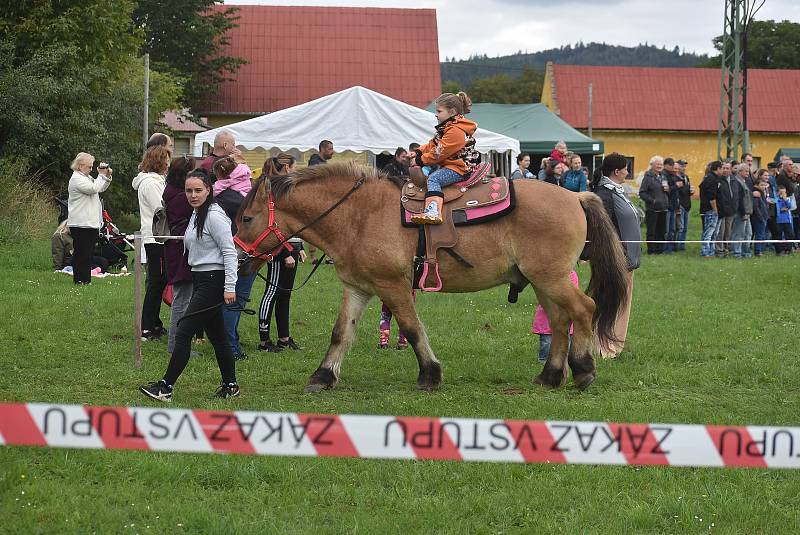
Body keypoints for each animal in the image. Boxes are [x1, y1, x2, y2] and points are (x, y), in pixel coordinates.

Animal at [234, 160, 628, 394]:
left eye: (247, 218)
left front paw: (429, 374)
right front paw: (323, 375)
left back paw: (583, 369)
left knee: (584, 309)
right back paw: (550, 375)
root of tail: (576, 196)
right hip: (544, 281)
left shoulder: (392, 286)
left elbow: (412, 329)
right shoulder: (358, 288)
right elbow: (341, 333)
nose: (237, 259)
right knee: (561, 321)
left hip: (552, 278)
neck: (359, 215)